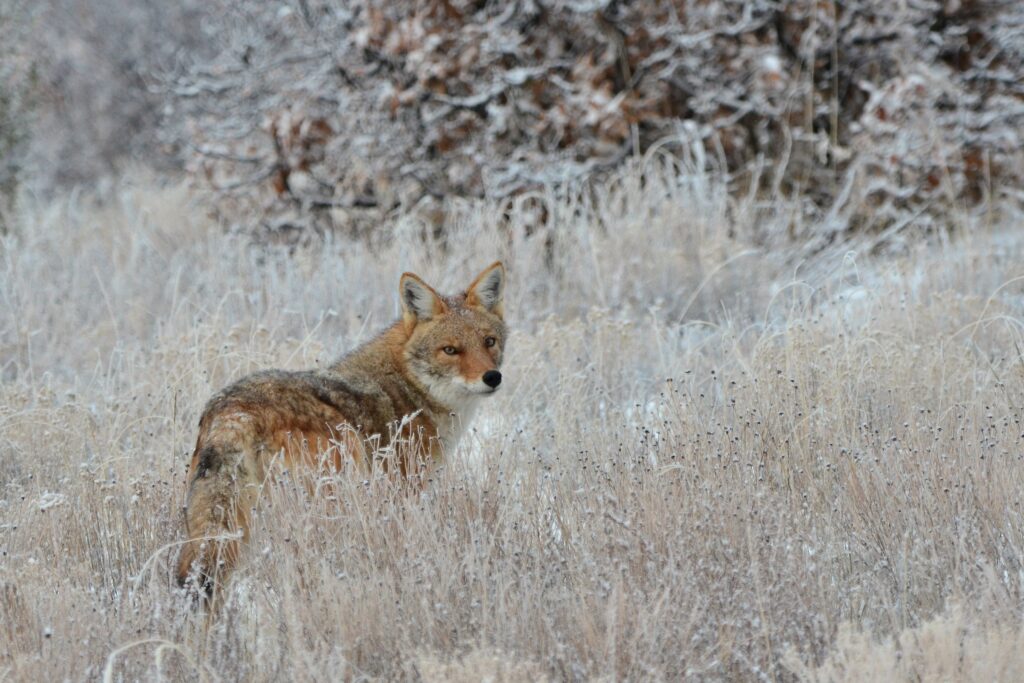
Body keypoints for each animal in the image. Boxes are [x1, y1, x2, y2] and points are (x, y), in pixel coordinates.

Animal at [175, 261, 506, 595]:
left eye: (489, 342)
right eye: (450, 350)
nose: (492, 377)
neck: (408, 385)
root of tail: (234, 410)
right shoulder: (404, 492)